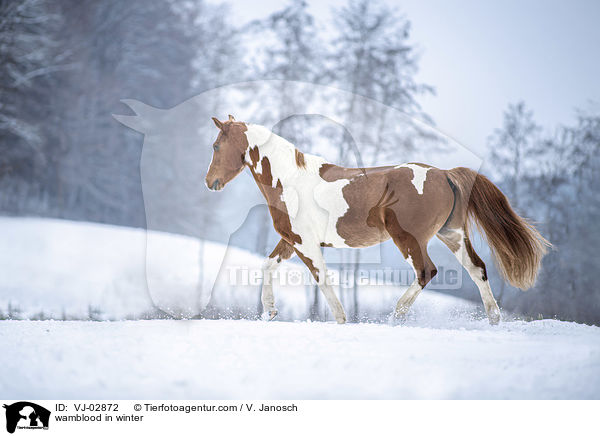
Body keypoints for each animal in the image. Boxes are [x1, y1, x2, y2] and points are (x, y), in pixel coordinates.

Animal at [205, 115, 548, 324]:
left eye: (216, 145)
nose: (210, 183)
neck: (289, 179)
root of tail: (445, 174)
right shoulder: (292, 241)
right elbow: (267, 265)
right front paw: (270, 312)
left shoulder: (306, 245)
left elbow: (323, 281)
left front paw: (341, 320)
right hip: (451, 234)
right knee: (478, 270)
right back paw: (494, 320)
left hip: (409, 238)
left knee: (426, 272)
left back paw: (395, 318)